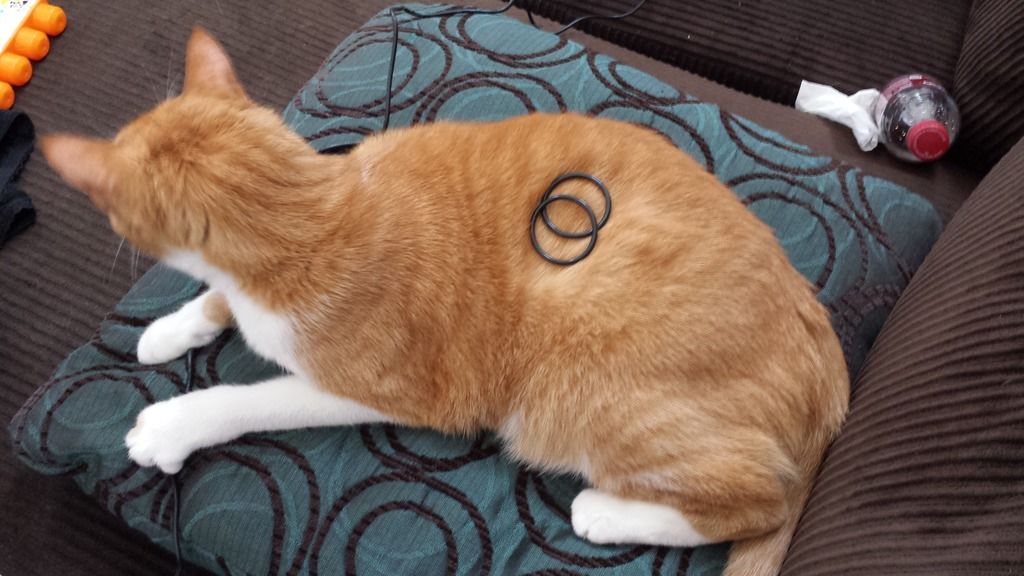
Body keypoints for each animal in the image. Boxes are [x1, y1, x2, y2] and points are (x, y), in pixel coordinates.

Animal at [40, 28, 849, 576]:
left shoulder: (386, 389)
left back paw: (608, 511)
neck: (307, 213)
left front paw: (173, 424)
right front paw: (170, 327)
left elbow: (254, 397)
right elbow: (218, 301)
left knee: (757, 502)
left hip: (577, 398)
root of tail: (826, 352)